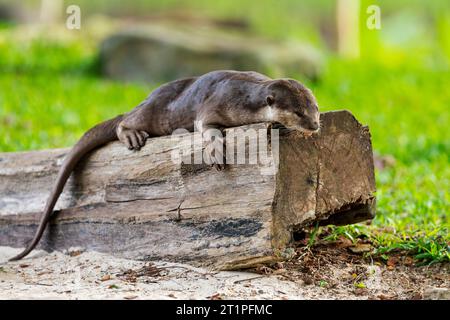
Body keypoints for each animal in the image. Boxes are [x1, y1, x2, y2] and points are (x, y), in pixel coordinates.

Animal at [9, 69, 320, 260]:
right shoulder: (218, 103)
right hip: (155, 112)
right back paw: (132, 134)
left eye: (315, 108)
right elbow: (205, 126)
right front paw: (216, 150)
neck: (248, 97)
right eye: (298, 112)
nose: (315, 125)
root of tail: (145, 99)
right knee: (125, 121)